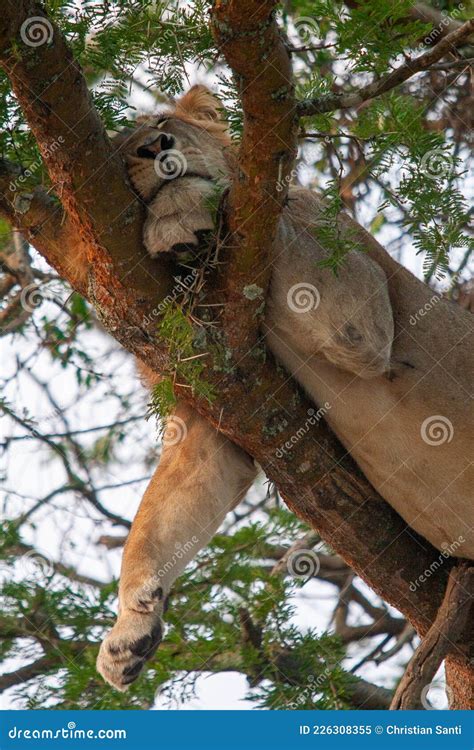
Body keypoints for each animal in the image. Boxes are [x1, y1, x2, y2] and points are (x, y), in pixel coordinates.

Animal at [95, 85, 470, 692]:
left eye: (163, 122)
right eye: (126, 150)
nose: (157, 148)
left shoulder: (355, 305)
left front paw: (177, 211)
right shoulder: (211, 411)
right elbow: (155, 522)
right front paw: (129, 628)